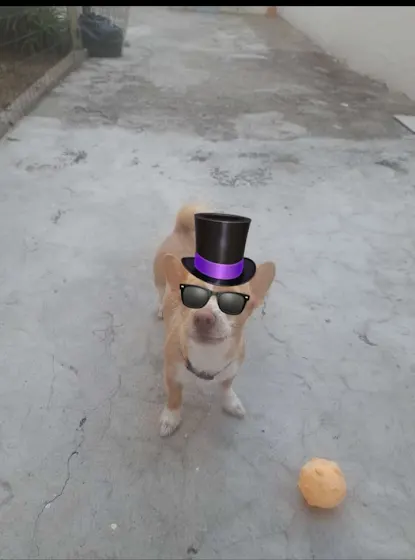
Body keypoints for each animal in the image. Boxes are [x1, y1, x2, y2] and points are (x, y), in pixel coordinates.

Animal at [153, 204, 276, 437]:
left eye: (233, 301)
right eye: (191, 297)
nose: (203, 317)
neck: (208, 355)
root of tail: (183, 230)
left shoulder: (231, 369)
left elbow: (226, 386)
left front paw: (230, 402)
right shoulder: (171, 376)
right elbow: (175, 397)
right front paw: (171, 417)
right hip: (159, 279)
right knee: (160, 292)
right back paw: (160, 308)